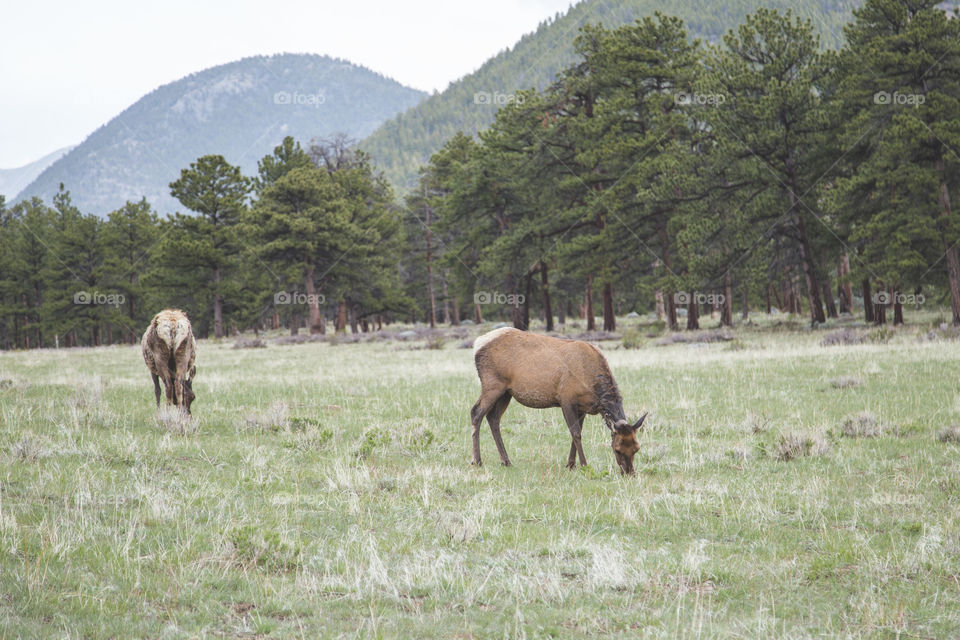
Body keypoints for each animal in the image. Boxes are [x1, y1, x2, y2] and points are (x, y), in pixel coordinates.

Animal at [470, 328, 648, 472]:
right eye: (617, 449)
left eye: (636, 448)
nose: (629, 472)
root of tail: (477, 344)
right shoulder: (566, 399)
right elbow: (575, 433)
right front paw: (584, 465)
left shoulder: (583, 407)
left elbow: (577, 433)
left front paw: (571, 464)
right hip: (492, 384)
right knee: (476, 412)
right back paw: (477, 461)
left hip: (506, 393)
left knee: (493, 418)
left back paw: (505, 461)